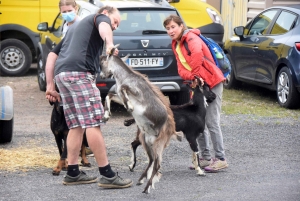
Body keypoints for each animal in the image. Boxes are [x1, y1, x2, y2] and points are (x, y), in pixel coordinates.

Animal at [99, 43, 183, 193]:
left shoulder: (135, 91)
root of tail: (172, 130)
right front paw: (106, 116)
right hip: (146, 139)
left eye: (102, 62)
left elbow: (123, 89)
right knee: (151, 160)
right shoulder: (118, 95)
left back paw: (146, 187)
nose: (102, 76)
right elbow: (110, 95)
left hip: (159, 143)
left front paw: (130, 107)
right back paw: (141, 180)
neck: (125, 76)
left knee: (157, 164)